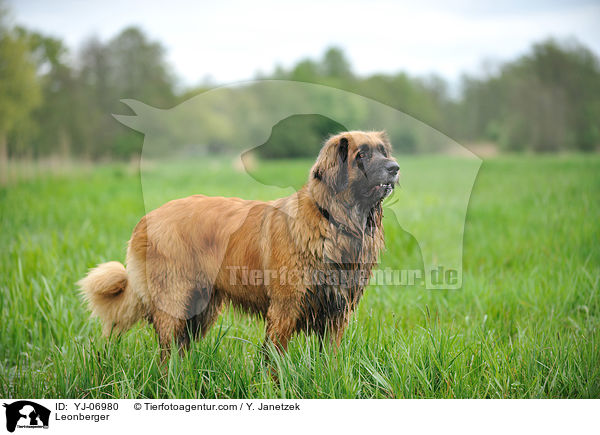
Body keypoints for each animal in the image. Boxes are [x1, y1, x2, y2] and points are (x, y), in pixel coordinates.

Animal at [78, 130, 398, 362]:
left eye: (383, 152)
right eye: (361, 155)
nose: (395, 168)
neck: (333, 219)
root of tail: (147, 218)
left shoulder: (336, 312)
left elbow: (329, 359)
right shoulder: (285, 308)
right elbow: (274, 361)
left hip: (201, 308)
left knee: (180, 348)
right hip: (175, 300)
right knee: (167, 351)